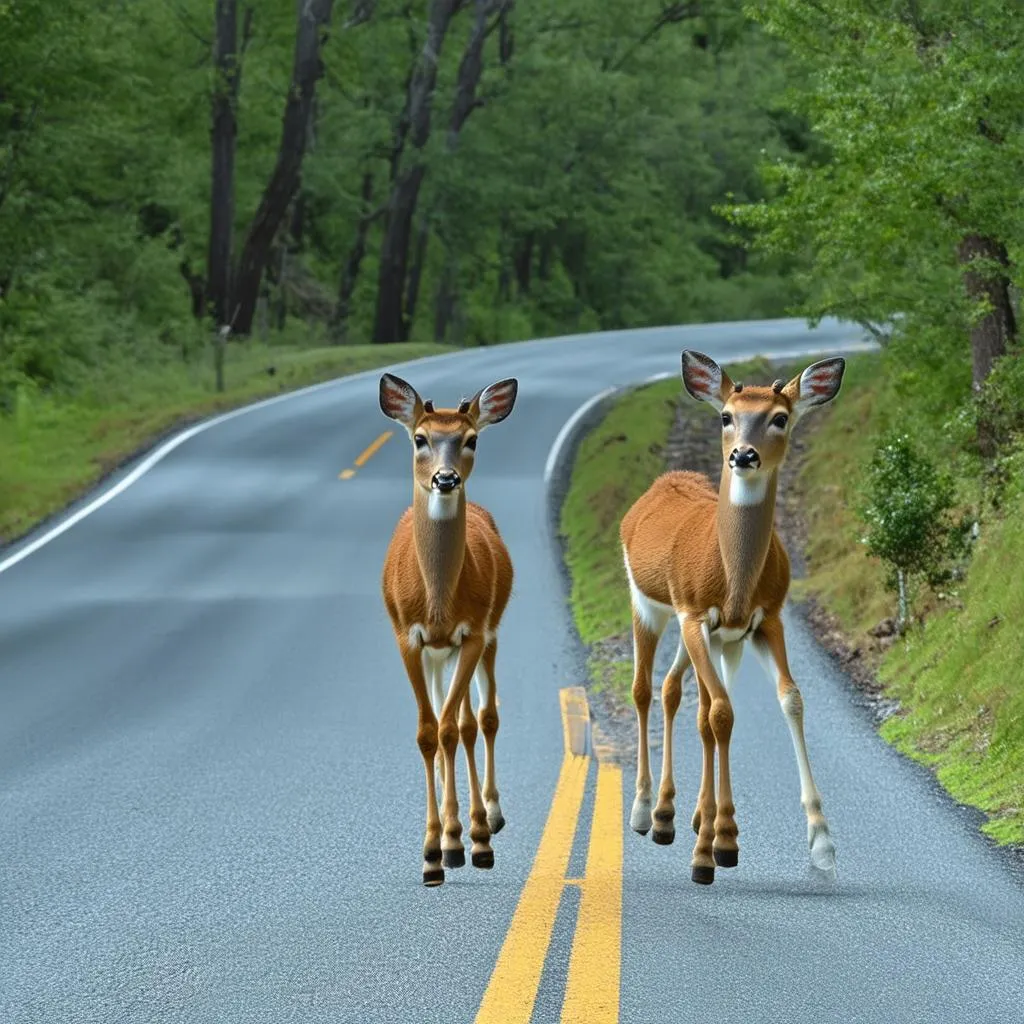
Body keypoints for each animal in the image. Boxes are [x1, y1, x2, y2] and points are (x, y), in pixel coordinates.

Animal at [378, 372, 516, 884]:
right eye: (420, 438)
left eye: (470, 438)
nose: (445, 478)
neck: (437, 603)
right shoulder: (407, 637)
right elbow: (427, 733)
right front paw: (431, 851)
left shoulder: (472, 632)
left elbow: (457, 729)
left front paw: (463, 842)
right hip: (438, 655)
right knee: (445, 719)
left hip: (490, 634)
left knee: (480, 718)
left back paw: (485, 822)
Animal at [618, 348, 843, 884]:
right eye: (726, 416)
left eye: (780, 417)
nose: (743, 455)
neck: (734, 580)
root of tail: (664, 482)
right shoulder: (695, 613)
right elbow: (720, 713)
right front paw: (711, 848)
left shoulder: (766, 620)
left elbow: (789, 700)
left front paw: (822, 844)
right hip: (650, 605)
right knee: (644, 689)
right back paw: (645, 812)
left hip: (714, 638)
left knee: (677, 690)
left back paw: (679, 815)